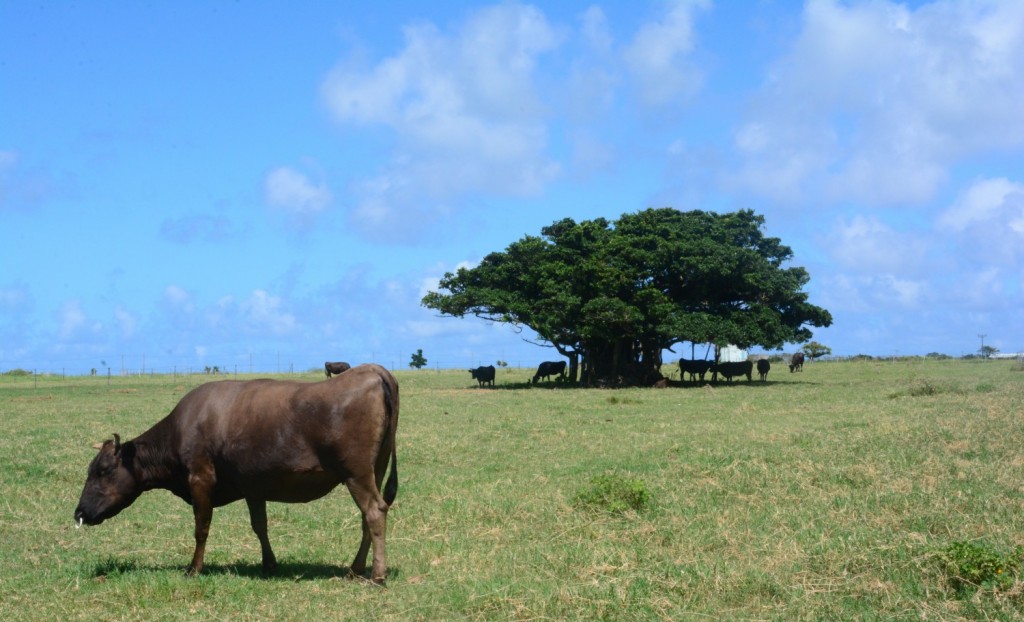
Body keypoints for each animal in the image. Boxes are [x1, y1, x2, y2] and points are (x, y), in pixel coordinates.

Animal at [74, 364, 399, 582]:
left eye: (102, 470)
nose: (79, 512)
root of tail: (371, 369)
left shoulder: (200, 478)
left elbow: (201, 527)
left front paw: (194, 568)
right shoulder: (254, 485)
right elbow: (260, 526)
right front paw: (269, 564)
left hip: (356, 473)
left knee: (374, 511)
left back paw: (377, 574)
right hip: (374, 469)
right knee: (368, 516)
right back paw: (355, 569)